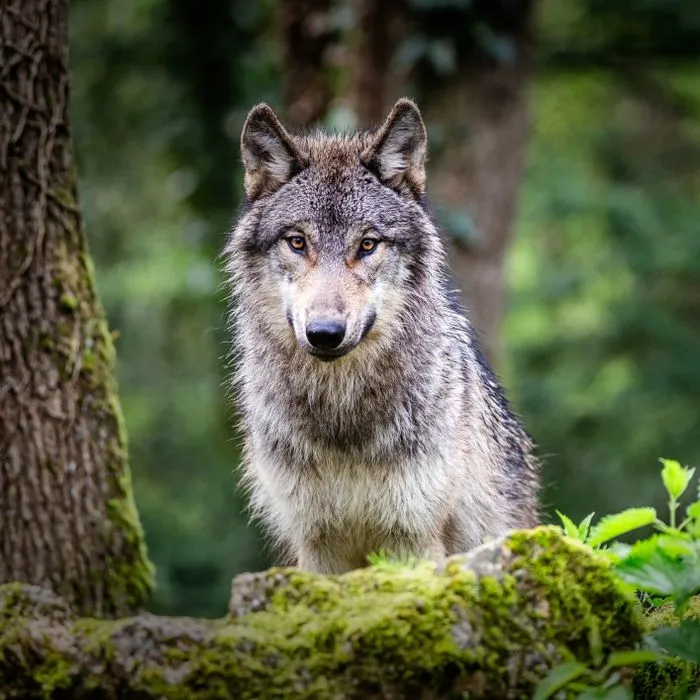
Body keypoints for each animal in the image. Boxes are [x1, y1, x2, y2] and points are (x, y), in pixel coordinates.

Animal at [224, 98, 540, 575]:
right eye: (297, 242)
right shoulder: (317, 544)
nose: (324, 333)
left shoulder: (411, 537)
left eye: (368, 245)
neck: (342, 418)